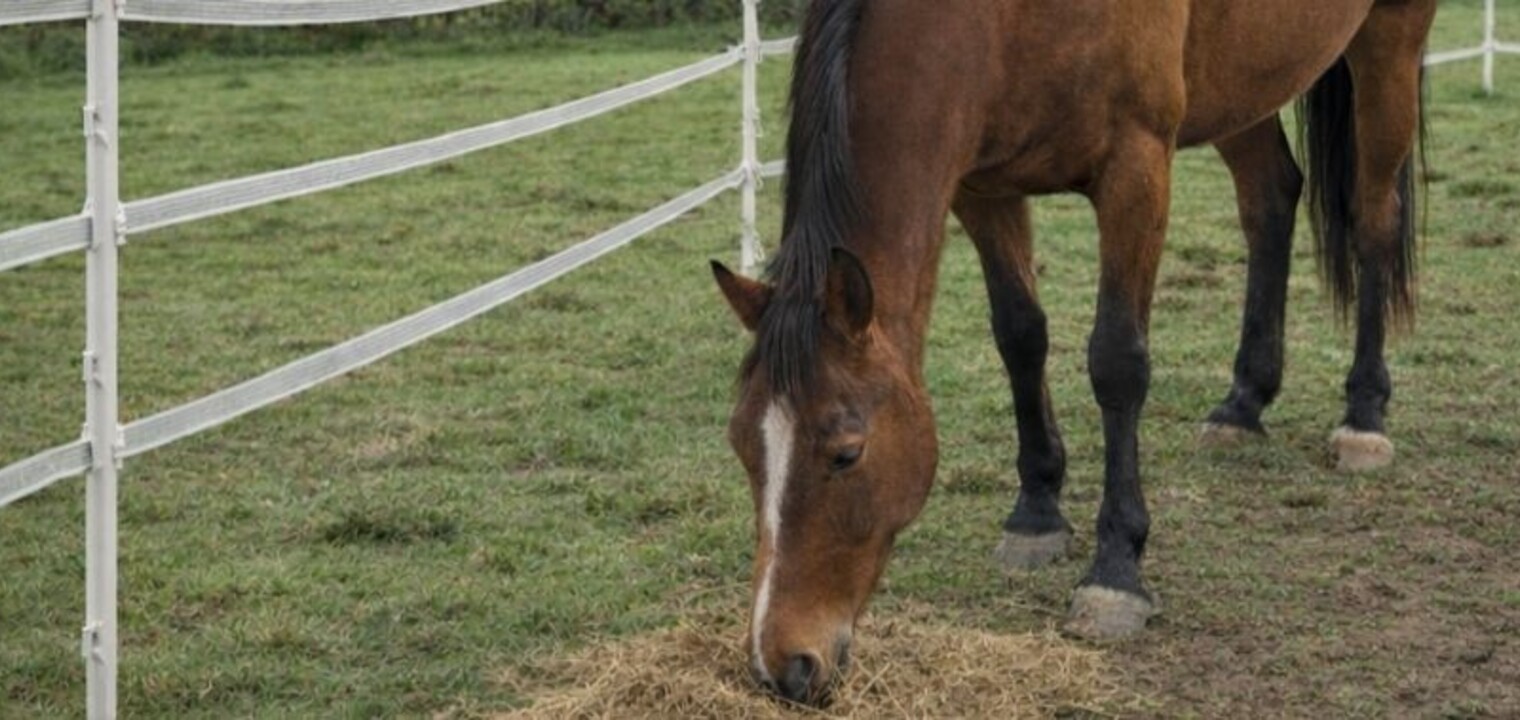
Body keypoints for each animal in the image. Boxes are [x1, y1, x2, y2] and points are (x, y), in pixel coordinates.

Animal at [711, 0, 1435, 706]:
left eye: (846, 452)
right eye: (743, 447)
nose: (782, 666)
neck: (1005, 17)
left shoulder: (1136, 169)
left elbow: (1116, 361)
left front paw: (1115, 570)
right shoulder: (983, 187)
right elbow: (1020, 335)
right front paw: (1036, 511)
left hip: (1389, 44)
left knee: (1375, 217)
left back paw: (1364, 417)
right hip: (1243, 80)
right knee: (1271, 198)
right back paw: (1242, 404)